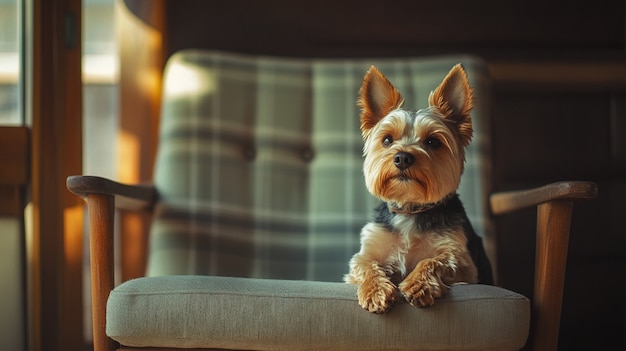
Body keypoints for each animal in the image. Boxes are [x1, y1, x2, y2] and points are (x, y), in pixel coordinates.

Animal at [342, 64, 492, 314]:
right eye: (387, 140)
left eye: (433, 142)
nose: (402, 157)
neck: (410, 208)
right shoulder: (367, 251)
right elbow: (365, 263)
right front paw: (376, 291)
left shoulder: (465, 264)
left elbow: (436, 260)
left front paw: (418, 284)